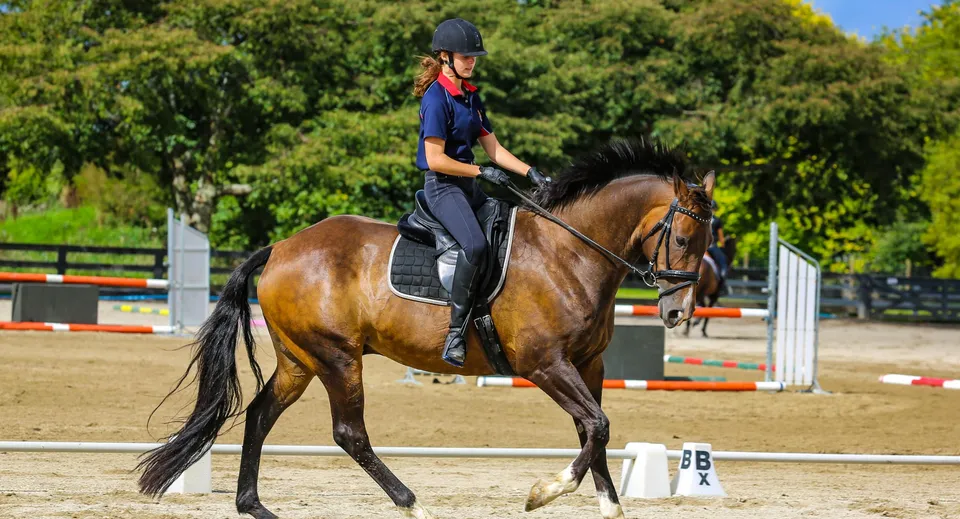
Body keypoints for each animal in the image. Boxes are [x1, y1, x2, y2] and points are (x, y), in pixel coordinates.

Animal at [137, 139, 716, 519]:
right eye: (683, 238)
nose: (678, 315)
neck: (569, 251)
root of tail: (281, 247)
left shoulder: (589, 365)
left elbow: (592, 430)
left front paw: (607, 506)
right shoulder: (545, 364)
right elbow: (596, 426)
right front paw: (543, 491)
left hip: (300, 360)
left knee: (259, 415)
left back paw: (254, 506)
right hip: (337, 357)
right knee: (350, 434)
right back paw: (411, 504)